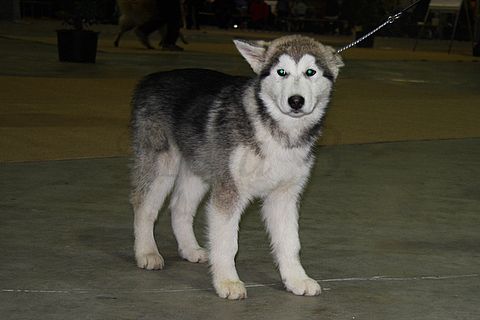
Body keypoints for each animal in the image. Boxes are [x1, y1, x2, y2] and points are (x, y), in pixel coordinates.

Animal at [129, 35, 344, 300]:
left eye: (310, 72)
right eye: (281, 72)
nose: (296, 101)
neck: (276, 130)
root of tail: (152, 77)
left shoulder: (284, 197)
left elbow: (290, 243)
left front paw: (296, 279)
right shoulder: (229, 190)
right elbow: (227, 243)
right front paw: (227, 281)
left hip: (200, 166)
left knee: (180, 207)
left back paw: (190, 249)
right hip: (161, 165)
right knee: (144, 206)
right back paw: (146, 252)